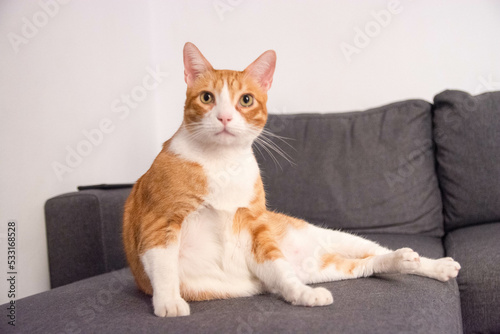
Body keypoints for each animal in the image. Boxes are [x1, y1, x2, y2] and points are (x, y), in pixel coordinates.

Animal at [122, 43, 460, 318]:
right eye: (207, 98)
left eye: (245, 100)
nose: (225, 117)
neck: (223, 164)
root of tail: (320, 253)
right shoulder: (160, 221)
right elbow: (165, 266)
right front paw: (169, 302)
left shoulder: (256, 227)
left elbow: (279, 268)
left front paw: (301, 294)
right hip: (328, 266)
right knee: (366, 264)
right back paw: (398, 263)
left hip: (339, 238)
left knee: (375, 251)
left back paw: (432, 264)